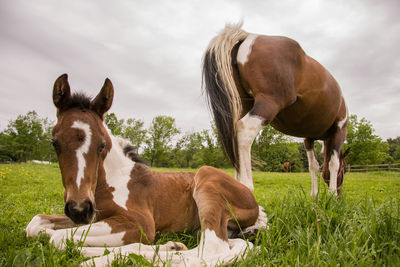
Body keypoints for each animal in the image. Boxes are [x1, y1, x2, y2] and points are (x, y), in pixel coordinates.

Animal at [25, 74, 266, 266]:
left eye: (101, 145)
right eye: (54, 143)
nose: (79, 209)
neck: (112, 180)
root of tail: (252, 198)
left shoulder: (139, 223)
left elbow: (56, 238)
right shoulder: (94, 218)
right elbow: (37, 225)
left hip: (206, 177)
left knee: (211, 251)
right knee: (234, 244)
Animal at [203, 23, 350, 197]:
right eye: (345, 170)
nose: (340, 195)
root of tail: (248, 36)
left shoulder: (308, 139)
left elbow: (313, 165)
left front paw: (315, 196)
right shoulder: (339, 130)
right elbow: (333, 162)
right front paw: (331, 195)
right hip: (269, 104)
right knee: (245, 132)